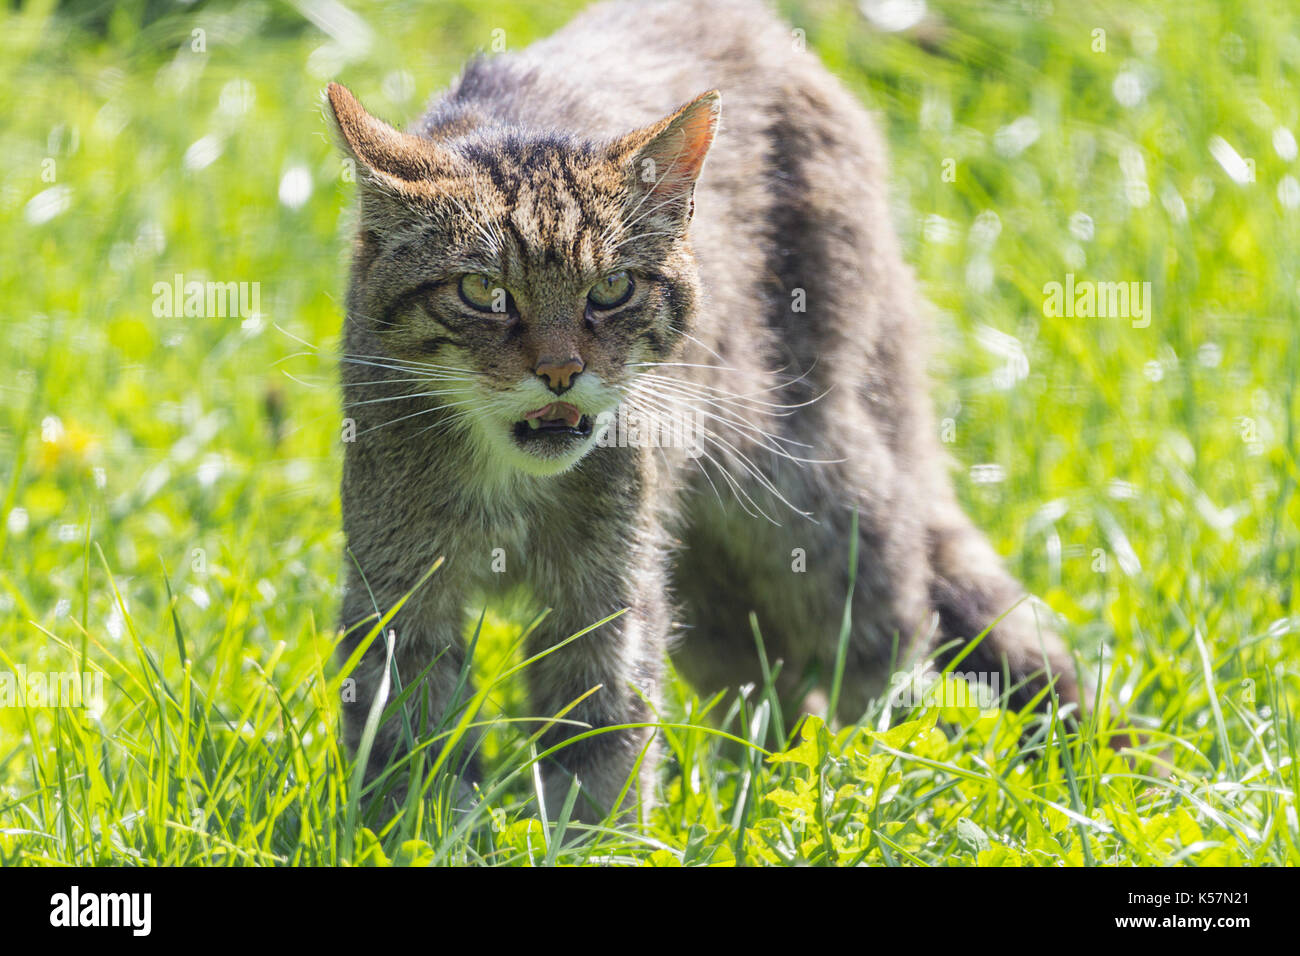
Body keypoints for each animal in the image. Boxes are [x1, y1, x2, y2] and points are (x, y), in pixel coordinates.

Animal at [325, 0, 1076, 822]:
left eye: (612, 289)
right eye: (482, 292)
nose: (561, 371)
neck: (510, 479)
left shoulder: (608, 597)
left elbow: (602, 747)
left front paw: (599, 839)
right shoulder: (398, 597)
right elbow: (406, 752)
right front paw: (411, 827)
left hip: (820, 508)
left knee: (885, 647)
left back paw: (854, 783)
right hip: (711, 588)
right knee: (772, 688)